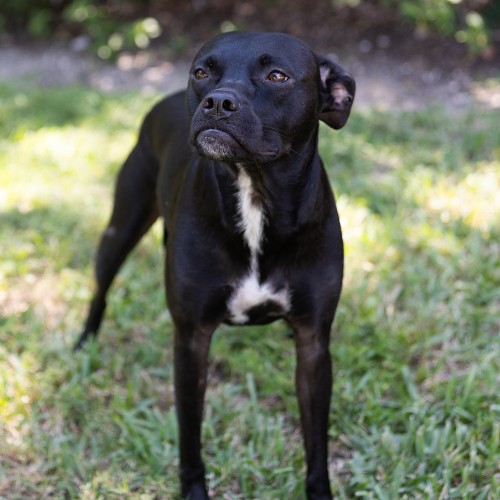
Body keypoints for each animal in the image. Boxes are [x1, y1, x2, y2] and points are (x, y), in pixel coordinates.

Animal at [75, 32, 356, 500]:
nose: (218, 103)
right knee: (101, 288)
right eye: (202, 72)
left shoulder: (314, 345)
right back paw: (85, 341)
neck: (254, 193)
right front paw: (193, 489)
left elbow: (316, 443)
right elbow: (190, 436)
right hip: (121, 228)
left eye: (277, 75)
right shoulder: (191, 341)